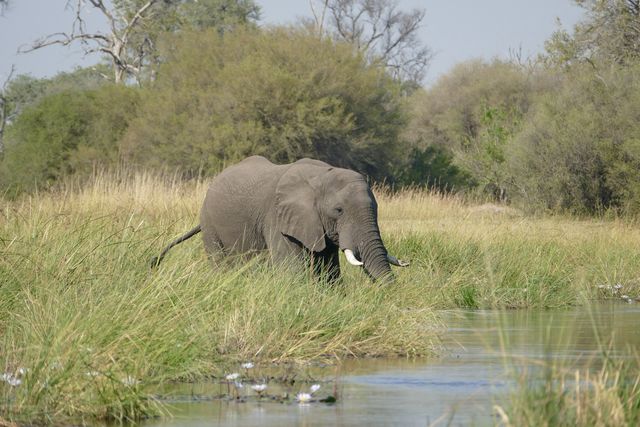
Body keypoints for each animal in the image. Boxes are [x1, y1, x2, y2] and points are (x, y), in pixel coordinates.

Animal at [152, 155, 408, 282]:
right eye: (338, 210)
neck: (320, 176)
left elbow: (329, 271)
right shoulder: (278, 218)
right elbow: (292, 271)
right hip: (209, 223)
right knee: (219, 261)